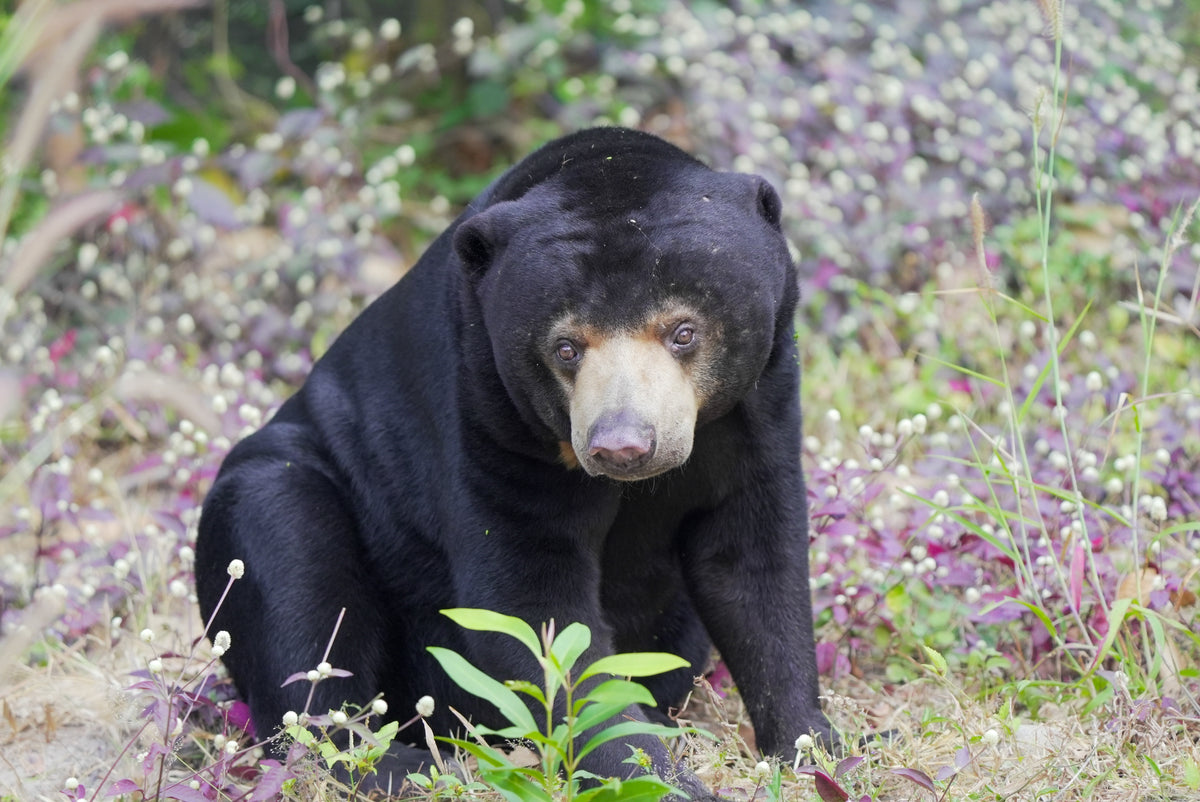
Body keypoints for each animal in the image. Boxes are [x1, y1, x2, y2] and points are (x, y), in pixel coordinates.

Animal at [195, 127, 832, 799]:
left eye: (683, 332)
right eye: (566, 347)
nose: (622, 445)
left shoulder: (758, 410)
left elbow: (753, 566)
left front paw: (812, 747)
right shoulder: (487, 413)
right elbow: (532, 603)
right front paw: (661, 779)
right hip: (293, 494)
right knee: (292, 569)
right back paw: (399, 766)